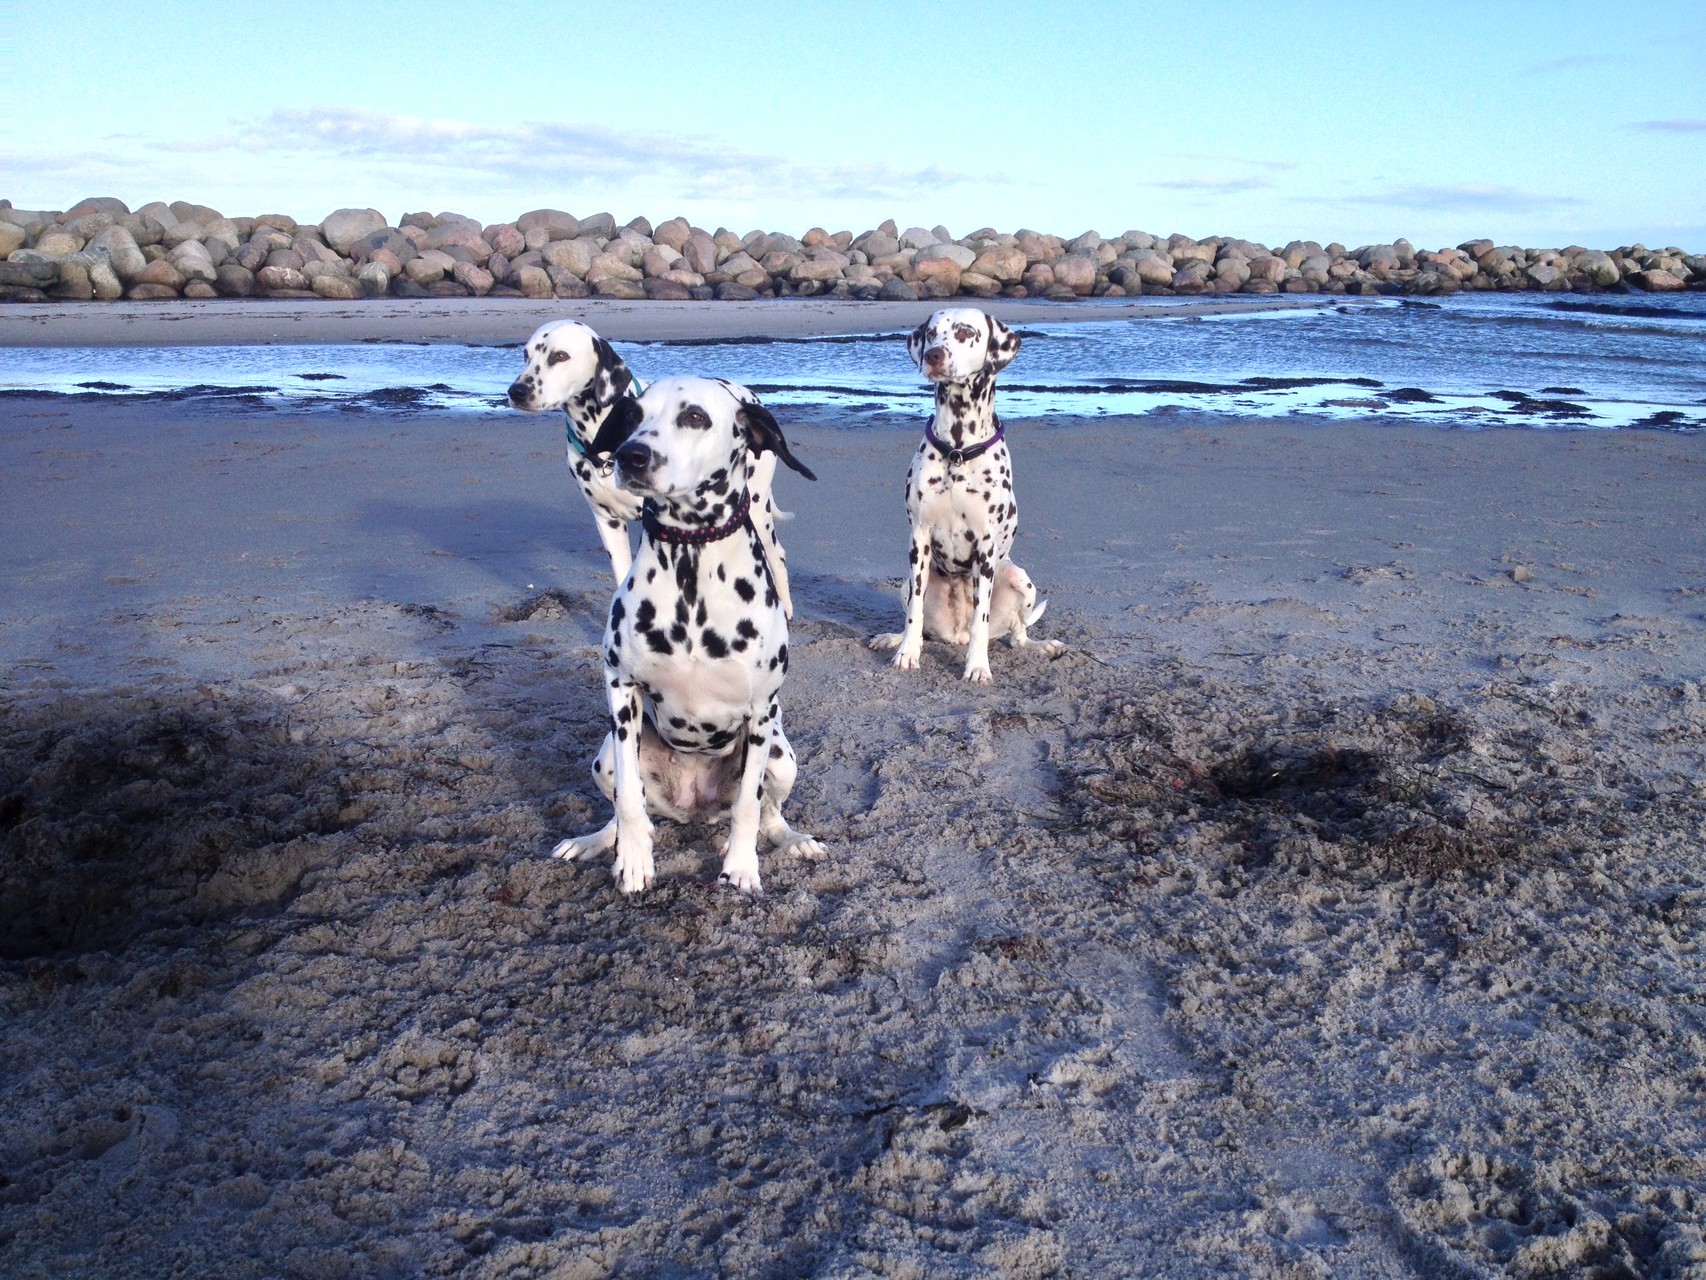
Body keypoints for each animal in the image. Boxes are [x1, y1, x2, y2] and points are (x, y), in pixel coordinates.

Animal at [504, 320, 798, 621]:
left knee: (777, 554)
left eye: (560, 356)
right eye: (525, 355)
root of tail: (751, 396)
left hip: (758, 510)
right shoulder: (608, 522)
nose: (516, 391)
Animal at [549, 375, 822, 894]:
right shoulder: (621, 689)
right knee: (624, 805)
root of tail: (692, 806)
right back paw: (597, 841)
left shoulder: (761, 712)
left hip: (781, 755)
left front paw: (741, 868)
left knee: (770, 812)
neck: (692, 561)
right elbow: (630, 802)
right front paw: (634, 861)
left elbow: (748, 807)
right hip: (606, 756)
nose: (631, 456)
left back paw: (793, 841)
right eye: (633, 416)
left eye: (694, 416)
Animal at [880, 308, 1050, 682]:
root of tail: (955, 633)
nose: (933, 355)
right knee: (916, 621)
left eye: (965, 332)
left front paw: (977, 666)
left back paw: (1041, 645)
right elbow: (914, 614)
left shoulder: (985, 548)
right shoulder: (919, 539)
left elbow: (981, 623)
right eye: (931, 333)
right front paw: (906, 653)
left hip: (1019, 578)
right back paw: (893, 638)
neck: (957, 451)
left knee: (1016, 634)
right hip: (907, 580)